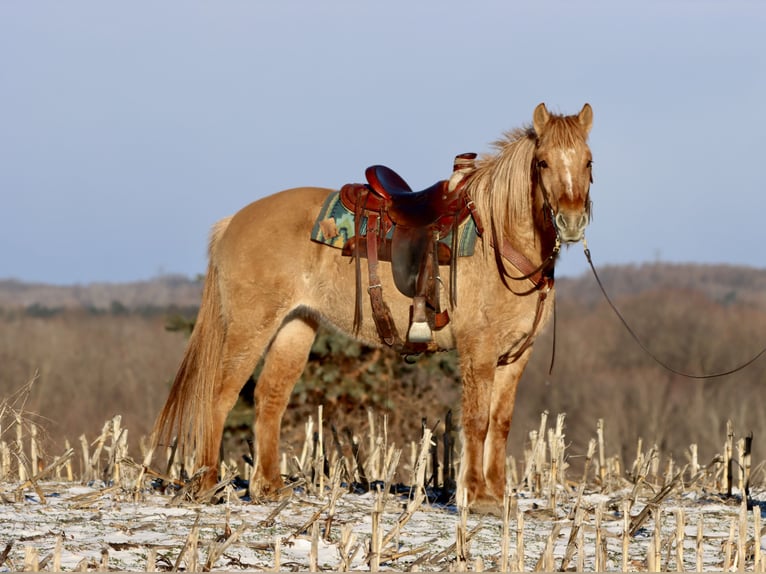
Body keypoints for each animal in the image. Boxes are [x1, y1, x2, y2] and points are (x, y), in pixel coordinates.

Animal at [153, 102, 594, 511]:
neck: (497, 239)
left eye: (589, 161)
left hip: (295, 326)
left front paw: (498, 497)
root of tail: (233, 221)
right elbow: (478, 420)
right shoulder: (478, 352)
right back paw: (207, 484)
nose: (571, 222)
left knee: (270, 397)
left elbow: (500, 424)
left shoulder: (515, 356)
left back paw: (270, 488)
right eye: (542, 162)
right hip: (250, 326)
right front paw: (477, 497)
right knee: (220, 395)